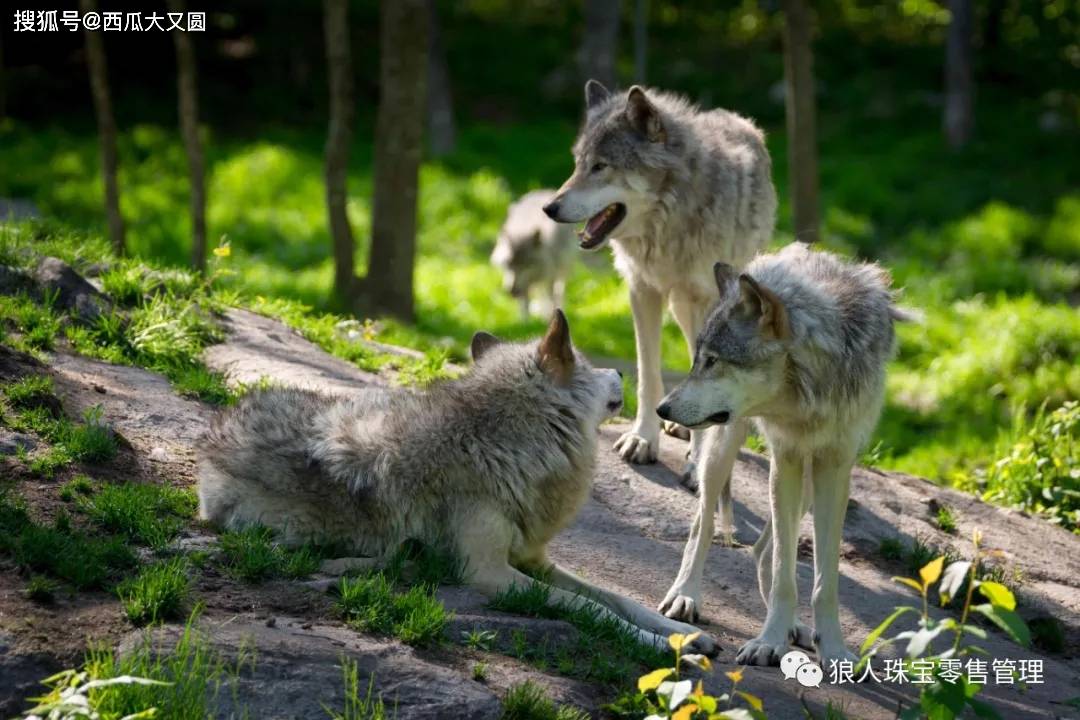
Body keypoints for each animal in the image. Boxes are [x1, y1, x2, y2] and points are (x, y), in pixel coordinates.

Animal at [196, 310, 717, 651]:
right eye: (587, 363)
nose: (621, 374)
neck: (500, 444)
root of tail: (216, 427)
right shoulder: (491, 573)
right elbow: (594, 609)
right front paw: (665, 647)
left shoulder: (535, 560)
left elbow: (620, 598)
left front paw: (687, 635)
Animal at [490, 188, 578, 317]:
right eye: (508, 264)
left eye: (525, 264)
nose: (511, 291)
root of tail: (544, 190)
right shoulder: (525, 285)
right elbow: (524, 307)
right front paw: (526, 321)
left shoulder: (549, 277)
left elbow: (551, 300)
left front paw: (550, 316)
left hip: (563, 270)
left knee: (558, 292)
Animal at [544, 78, 773, 505]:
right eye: (578, 163)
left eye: (601, 166)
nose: (549, 207)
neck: (670, 224)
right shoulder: (642, 290)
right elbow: (648, 372)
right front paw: (643, 439)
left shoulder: (708, 301)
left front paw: (697, 465)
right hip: (680, 307)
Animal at [652, 245, 915, 669]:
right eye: (698, 360)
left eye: (713, 361)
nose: (662, 408)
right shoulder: (785, 457)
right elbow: (784, 574)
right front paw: (769, 641)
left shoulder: (834, 466)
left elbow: (823, 578)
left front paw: (832, 648)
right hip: (724, 449)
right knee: (703, 525)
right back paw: (685, 596)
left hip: (807, 482)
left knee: (763, 549)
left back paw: (796, 628)